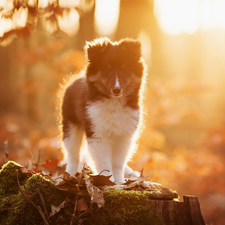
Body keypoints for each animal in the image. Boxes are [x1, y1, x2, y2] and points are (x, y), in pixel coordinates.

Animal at [60, 37, 147, 185]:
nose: (117, 90)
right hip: (71, 125)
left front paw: (120, 182)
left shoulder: (124, 136)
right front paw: (109, 181)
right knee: (73, 154)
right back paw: (69, 174)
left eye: (124, 69)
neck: (114, 102)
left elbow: (118, 163)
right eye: (107, 70)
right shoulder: (98, 134)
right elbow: (105, 164)